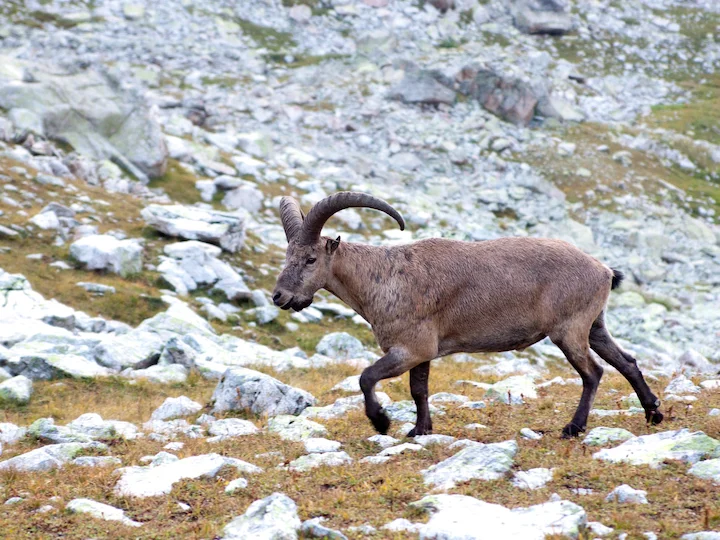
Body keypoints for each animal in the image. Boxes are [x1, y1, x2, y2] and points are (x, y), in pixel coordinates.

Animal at [272, 191, 664, 437]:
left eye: (311, 259)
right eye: (286, 255)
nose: (280, 296)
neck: (382, 278)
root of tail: (604, 271)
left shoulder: (410, 348)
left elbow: (367, 377)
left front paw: (382, 422)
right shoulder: (423, 352)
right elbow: (419, 390)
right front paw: (420, 430)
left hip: (569, 330)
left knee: (593, 373)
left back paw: (574, 428)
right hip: (593, 324)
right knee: (626, 361)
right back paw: (653, 412)